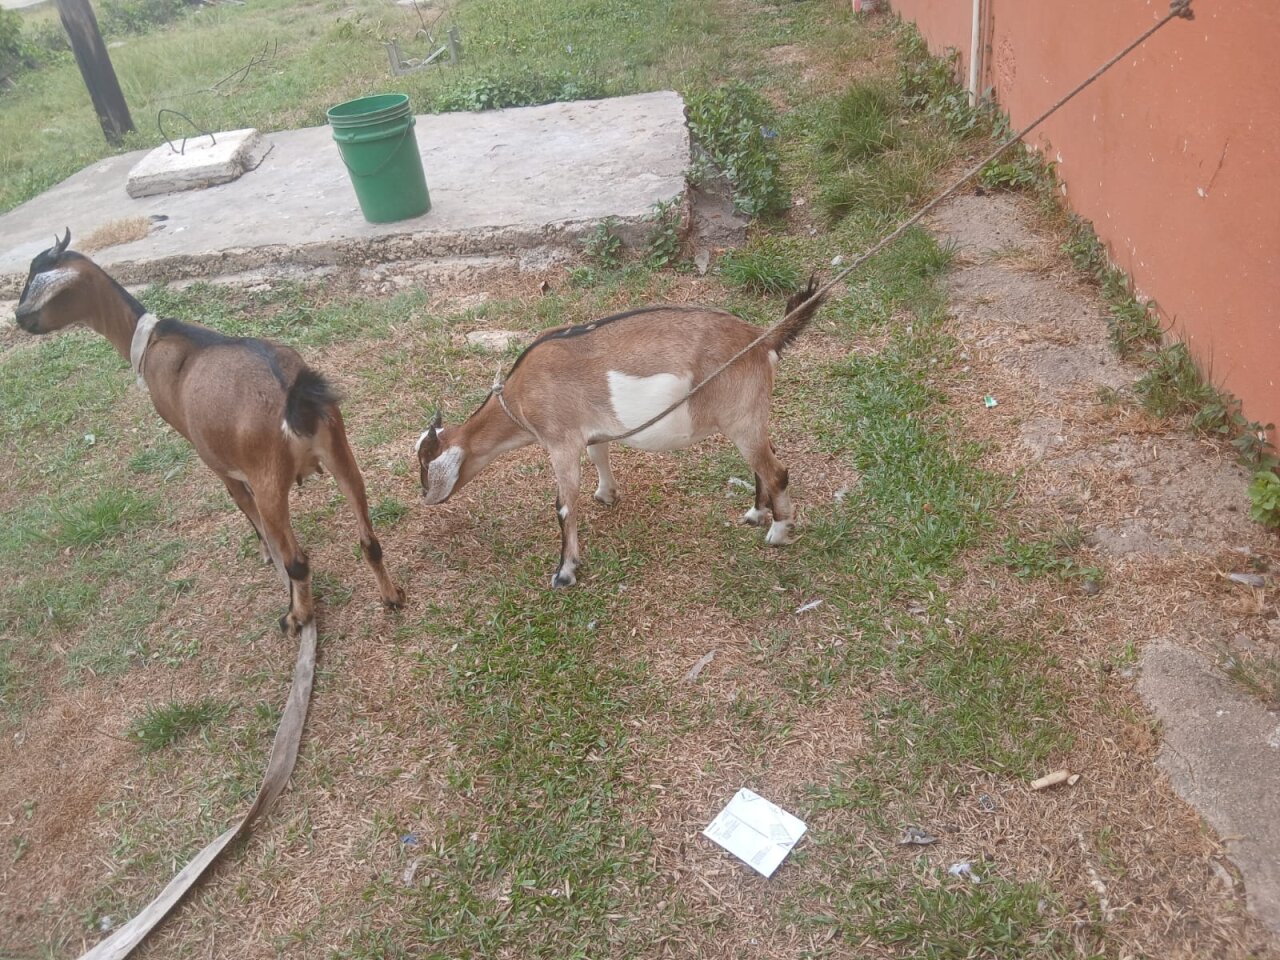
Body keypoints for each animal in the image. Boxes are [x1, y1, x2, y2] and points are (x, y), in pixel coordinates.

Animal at [13, 229, 405, 632]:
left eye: (33, 279)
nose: (19, 318)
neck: (151, 341)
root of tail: (294, 397)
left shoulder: (217, 461)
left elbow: (245, 507)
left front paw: (268, 556)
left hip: (270, 479)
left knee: (297, 560)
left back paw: (296, 616)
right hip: (340, 450)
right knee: (368, 539)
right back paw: (391, 597)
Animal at [415, 280, 825, 587]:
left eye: (423, 463)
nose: (424, 497)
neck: (518, 395)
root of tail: (763, 338)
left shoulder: (560, 440)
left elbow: (564, 505)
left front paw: (565, 572)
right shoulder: (591, 431)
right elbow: (599, 454)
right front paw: (607, 494)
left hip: (740, 417)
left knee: (777, 471)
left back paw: (779, 532)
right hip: (748, 418)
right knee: (765, 462)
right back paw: (756, 514)